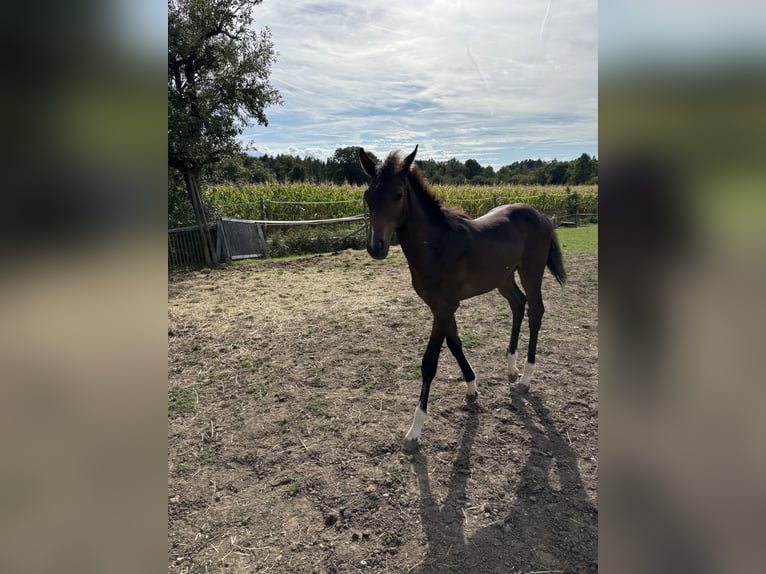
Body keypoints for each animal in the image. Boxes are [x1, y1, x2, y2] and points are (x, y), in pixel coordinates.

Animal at [359, 145, 566, 446]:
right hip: (504, 278)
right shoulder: (441, 306)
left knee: (536, 311)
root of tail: (540, 215)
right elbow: (455, 344)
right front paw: (472, 386)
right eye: (368, 196)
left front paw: (415, 429)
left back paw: (526, 378)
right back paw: (511, 368)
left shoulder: (444, 307)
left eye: (397, 194)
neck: (437, 246)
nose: (376, 247)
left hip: (531, 271)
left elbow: (430, 361)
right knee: (518, 304)